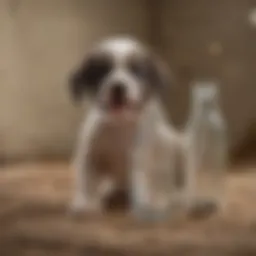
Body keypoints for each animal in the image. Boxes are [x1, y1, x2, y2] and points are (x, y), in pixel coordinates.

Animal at [68, 37, 180, 215]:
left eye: (136, 71)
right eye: (103, 70)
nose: (118, 87)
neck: (119, 125)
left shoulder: (139, 158)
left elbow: (143, 182)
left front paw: (145, 204)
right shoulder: (89, 156)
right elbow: (87, 181)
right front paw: (85, 203)